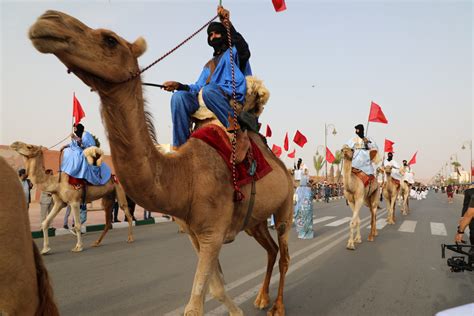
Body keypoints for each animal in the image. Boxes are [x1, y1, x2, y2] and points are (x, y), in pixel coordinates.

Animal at [28, 9, 292, 316]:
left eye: (110, 39)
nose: (49, 19)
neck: (185, 175)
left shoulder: (213, 233)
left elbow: (196, 302)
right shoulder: (195, 234)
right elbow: (215, 288)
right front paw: (237, 310)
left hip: (285, 205)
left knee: (284, 253)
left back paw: (277, 306)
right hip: (255, 220)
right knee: (271, 249)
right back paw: (261, 298)